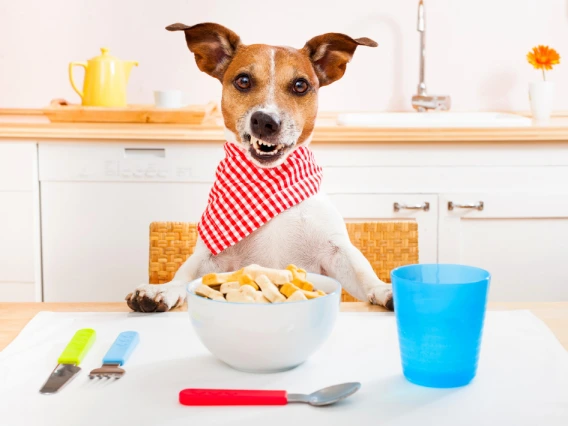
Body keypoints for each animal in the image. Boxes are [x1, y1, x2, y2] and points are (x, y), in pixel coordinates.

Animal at [124, 21, 394, 312]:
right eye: (243, 81)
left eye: (300, 85)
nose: (266, 121)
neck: (269, 180)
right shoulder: (210, 258)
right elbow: (184, 274)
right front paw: (161, 290)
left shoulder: (336, 251)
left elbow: (363, 273)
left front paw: (385, 289)